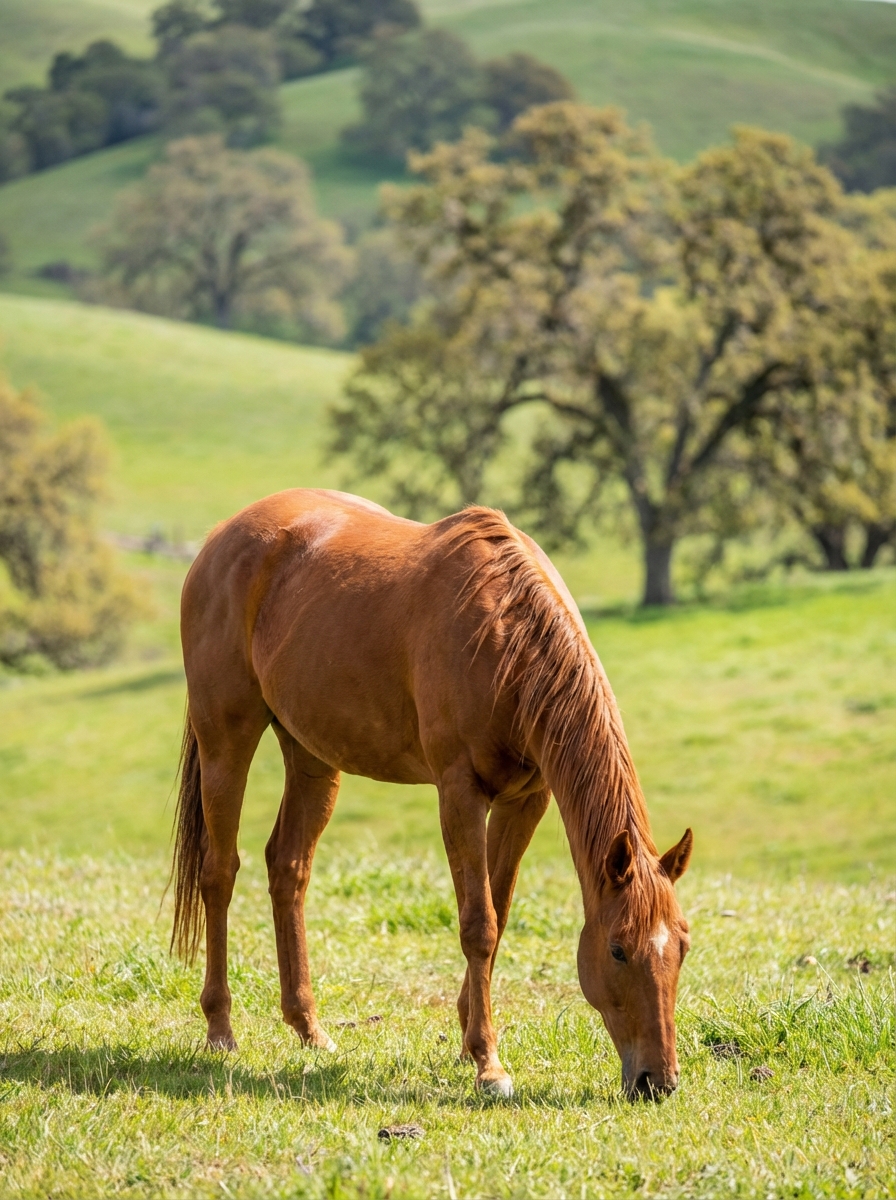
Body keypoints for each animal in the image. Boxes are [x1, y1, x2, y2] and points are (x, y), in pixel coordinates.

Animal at [172, 488, 693, 1100]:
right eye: (617, 948)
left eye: (682, 946)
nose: (658, 1081)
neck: (504, 636)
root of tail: (223, 536)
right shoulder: (460, 792)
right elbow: (478, 924)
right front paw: (489, 1062)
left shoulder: (526, 798)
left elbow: (499, 912)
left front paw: (470, 1039)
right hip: (225, 741)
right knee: (218, 873)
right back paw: (220, 1031)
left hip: (312, 756)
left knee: (289, 868)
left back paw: (310, 1028)